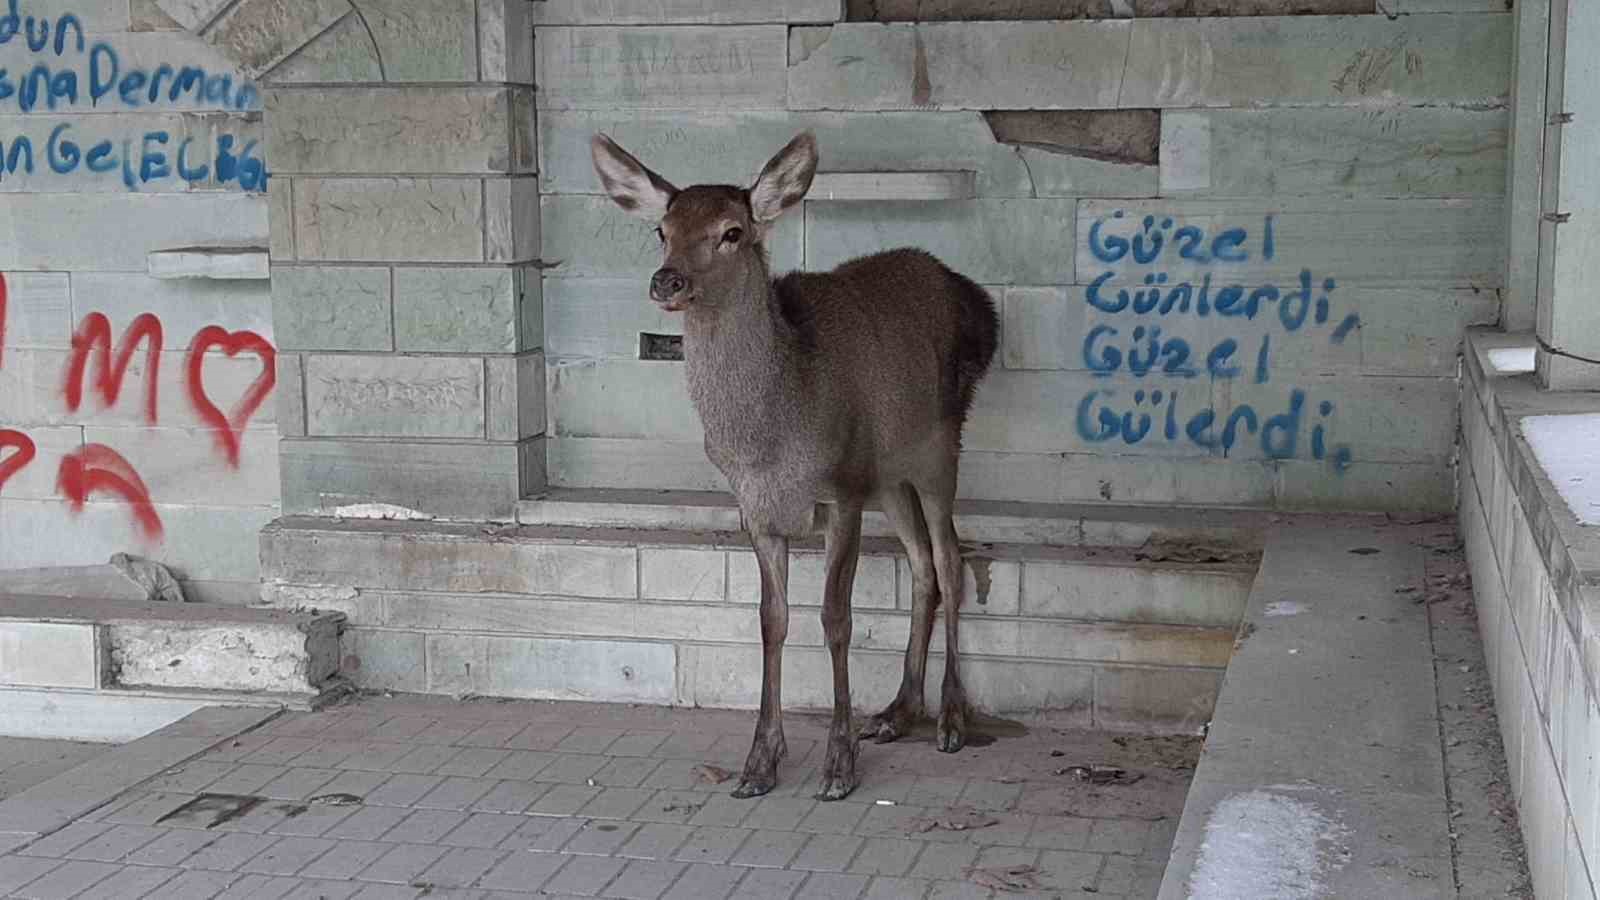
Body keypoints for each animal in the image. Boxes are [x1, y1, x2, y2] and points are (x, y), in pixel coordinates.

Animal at [598, 128, 998, 797]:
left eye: (732, 231)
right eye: (662, 228)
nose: (667, 281)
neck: (770, 443)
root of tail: (979, 300)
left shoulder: (842, 490)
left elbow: (836, 618)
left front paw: (838, 765)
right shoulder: (759, 511)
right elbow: (771, 620)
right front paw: (759, 762)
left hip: (940, 445)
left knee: (950, 560)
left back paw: (949, 719)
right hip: (889, 473)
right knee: (921, 565)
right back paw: (897, 711)